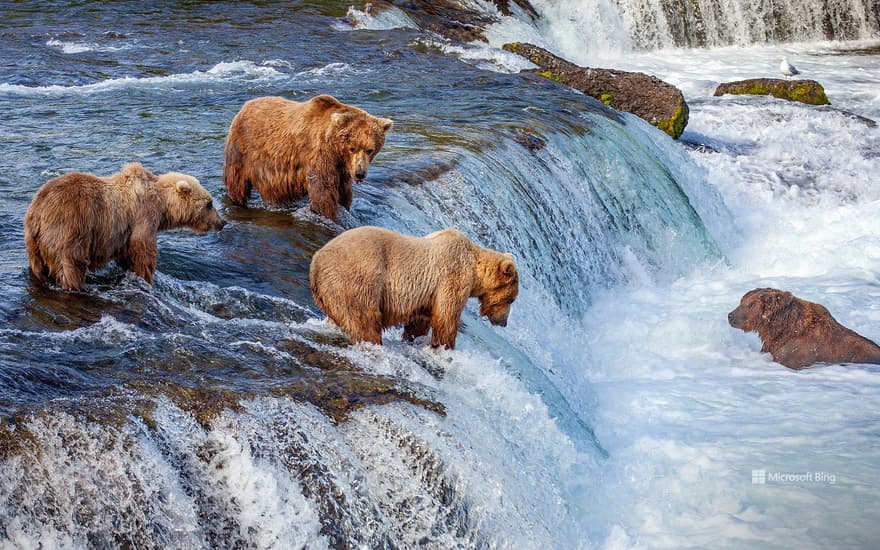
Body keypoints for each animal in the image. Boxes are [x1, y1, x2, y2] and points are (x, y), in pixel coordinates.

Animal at [24, 162, 225, 294]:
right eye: (209, 203)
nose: (222, 222)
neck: (163, 205)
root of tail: (37, 210)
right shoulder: (143, 216)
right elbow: (142, 249)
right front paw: (146, 277)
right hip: (70, 229)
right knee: (72, 264)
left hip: (33, 242)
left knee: (39, 267)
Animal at [310, 226, 520, 352]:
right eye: (510, 299)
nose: (503, 323)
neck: (475, 267)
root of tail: (315, 263)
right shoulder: (452, 276)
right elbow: (446, 317)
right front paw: (445, 347)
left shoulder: (426, 295)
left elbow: (420, 320)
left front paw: (414, 338)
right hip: (357, 278)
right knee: (364, 319)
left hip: (333, 290)